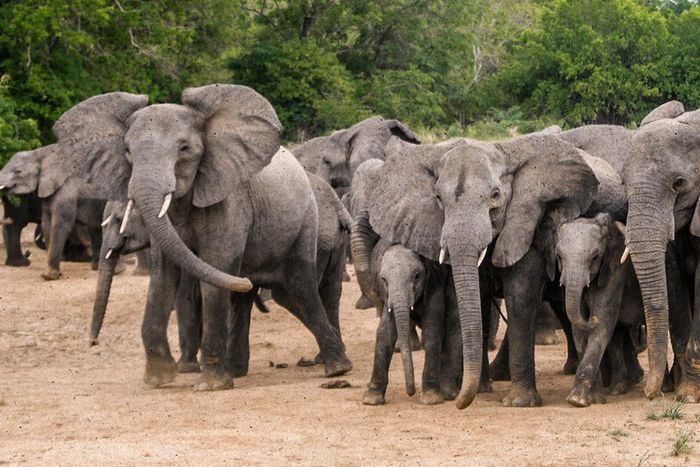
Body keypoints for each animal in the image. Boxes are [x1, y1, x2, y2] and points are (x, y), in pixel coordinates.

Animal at [53, 85, 351, 391]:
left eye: (185, 149)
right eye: (127, 151)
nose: (92, 342)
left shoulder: (228, 202)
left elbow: (214, 273)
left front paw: (210, 385)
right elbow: (162, 279)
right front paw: (159, 379)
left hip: (306, 222)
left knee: (298, 286)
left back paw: (337, 368)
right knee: (266, 294)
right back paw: (239, 369)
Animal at [358, 134, 599, 408]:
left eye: (495, 195)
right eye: (438, 198)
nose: (458, 402)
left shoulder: (527, 224)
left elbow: (520, 297)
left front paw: (519, 402)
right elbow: (478, 301)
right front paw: (483, 390)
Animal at [622, 100, 700, 401]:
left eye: (679, 183)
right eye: (624, 184)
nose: (648, 393)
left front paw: (688, 394)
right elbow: (673, 279)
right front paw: (686, 391)